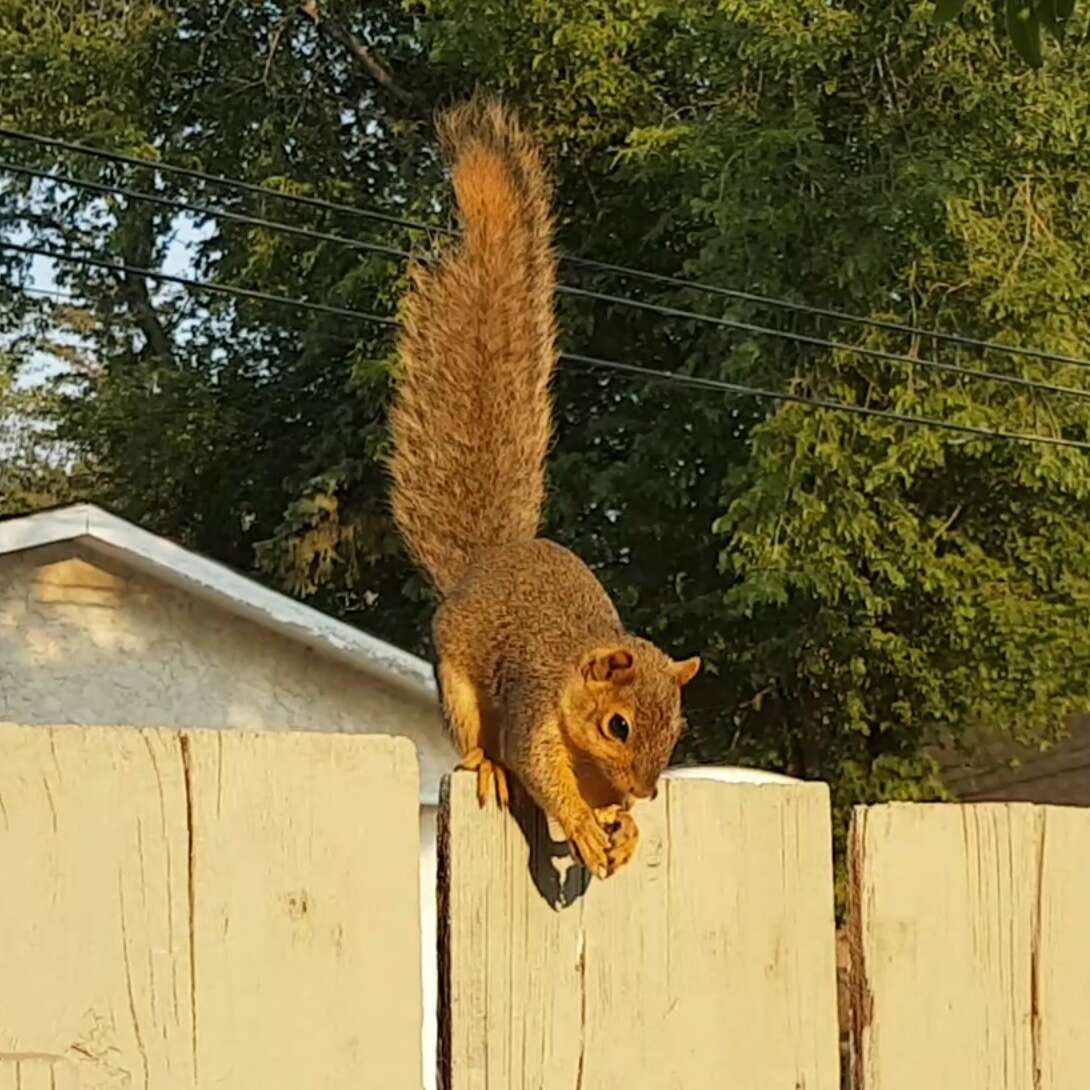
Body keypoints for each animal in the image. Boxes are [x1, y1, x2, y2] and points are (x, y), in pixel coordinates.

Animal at [388, 100, 701, 876]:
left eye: (678, 730)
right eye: (618, 724)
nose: (644, 792)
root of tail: (488, 559)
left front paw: (625, 825)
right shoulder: (534, 714)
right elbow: (542, 771)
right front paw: (583, 825)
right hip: (457, 680)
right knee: (479, 743)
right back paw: (487, 768)